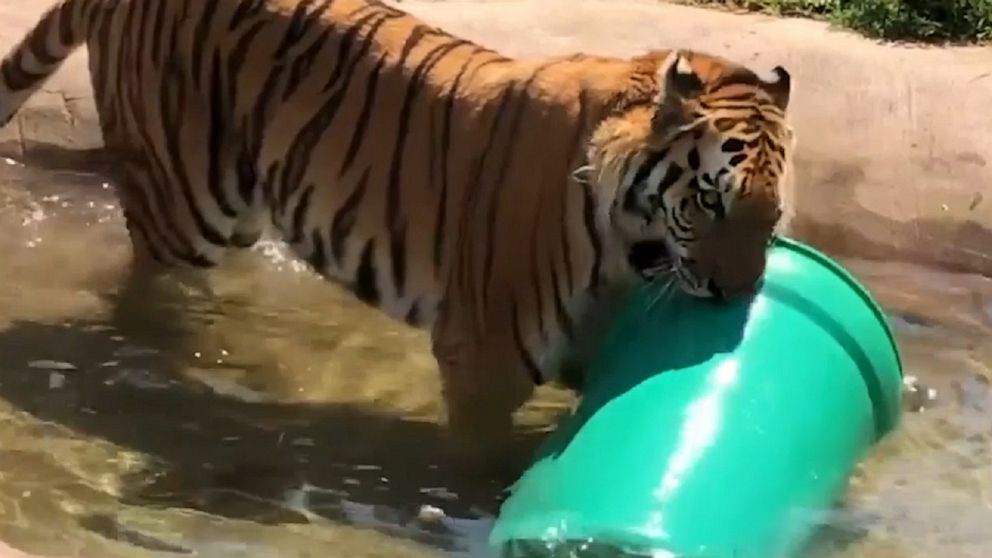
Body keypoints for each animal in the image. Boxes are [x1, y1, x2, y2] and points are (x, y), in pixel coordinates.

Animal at [0, 0, 792, 470]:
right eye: (709, 200)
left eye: (772, 216)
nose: (738, 293)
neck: (629, 243)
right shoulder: (484, 362)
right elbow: (484, 472)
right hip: (180, 207)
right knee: (144, 293)